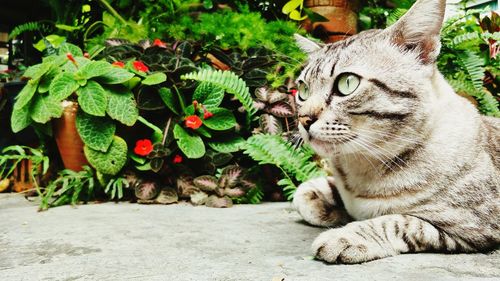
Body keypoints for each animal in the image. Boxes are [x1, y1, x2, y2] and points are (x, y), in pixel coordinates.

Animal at [292, 0, 500, 262]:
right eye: (303, 91)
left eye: (347, 83)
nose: (304, 119)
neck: (362, 169)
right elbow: (302, 191)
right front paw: (328, 207)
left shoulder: (472, 225)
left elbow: (398, 221)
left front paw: (345, 235)